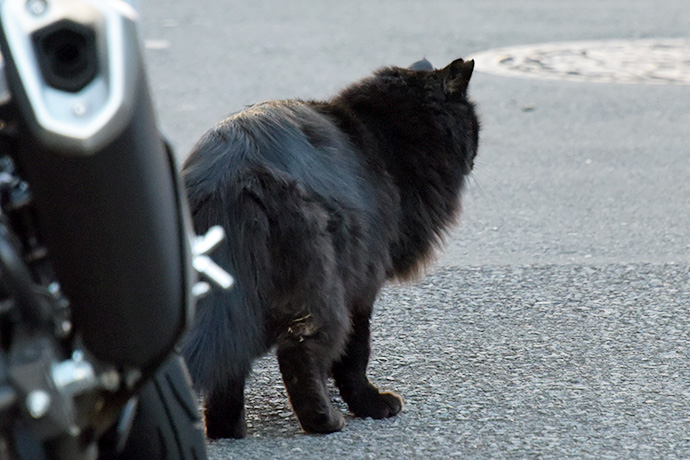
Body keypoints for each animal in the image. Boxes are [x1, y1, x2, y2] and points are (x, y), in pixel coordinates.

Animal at [180, 57, 476, 438]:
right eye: (474, 126)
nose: (475, 155)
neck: (383, 137)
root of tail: (231, 177)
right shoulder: (363, 287)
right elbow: (355, 354)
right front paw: (370, 404)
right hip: (323, 286)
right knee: (300, 353)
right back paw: (324, 421)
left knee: (228, 359)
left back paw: (226, 431)